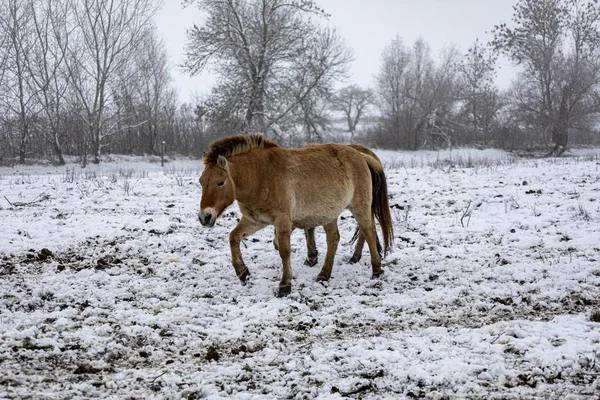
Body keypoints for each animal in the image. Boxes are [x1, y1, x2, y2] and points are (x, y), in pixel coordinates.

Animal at [197, 134, 394, 296]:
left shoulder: (282, 221)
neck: (260, 176)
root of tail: (361, 155)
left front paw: (285, 285)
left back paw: (376, 270)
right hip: (330, 214)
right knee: (334, 240)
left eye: (220, 182)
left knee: (368, 231)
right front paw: (243, 273)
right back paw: (324, 275)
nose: (204, 217)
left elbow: (284, 251)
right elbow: (234, 237)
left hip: (360, 207)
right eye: (201, 182)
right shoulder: (255, 221)